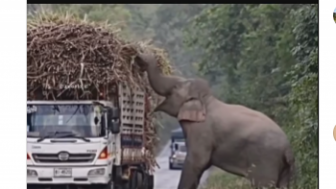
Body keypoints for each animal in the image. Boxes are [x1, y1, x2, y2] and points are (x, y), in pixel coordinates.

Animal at [135, 52, 296, 188]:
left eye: (175, 87)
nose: (140, 57)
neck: (206, 100)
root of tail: (288, 148)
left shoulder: (201, 131)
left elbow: (197, 162)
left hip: (265, 159)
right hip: (283, 168)